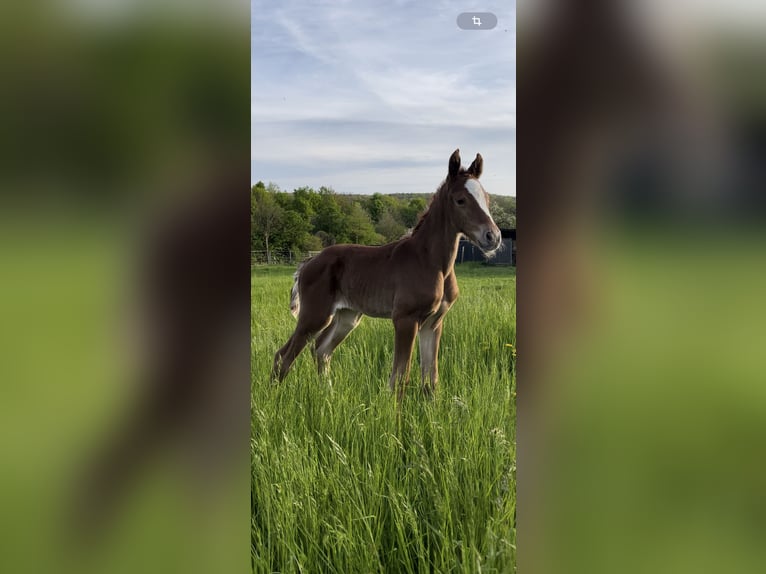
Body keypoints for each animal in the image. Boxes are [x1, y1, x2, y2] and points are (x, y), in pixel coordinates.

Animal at [272, 148, 504, 400]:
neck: (431, 262)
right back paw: (276, 400)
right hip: (315, 315)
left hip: (347, 316)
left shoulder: (434, 322)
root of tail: (308, 262)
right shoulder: (405, 319)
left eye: (487, 199)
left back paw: (329, 397)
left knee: (321, 350)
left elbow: (430, 379)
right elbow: (400, 378)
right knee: (284, 356)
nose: (493, 236)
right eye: (460, 200)